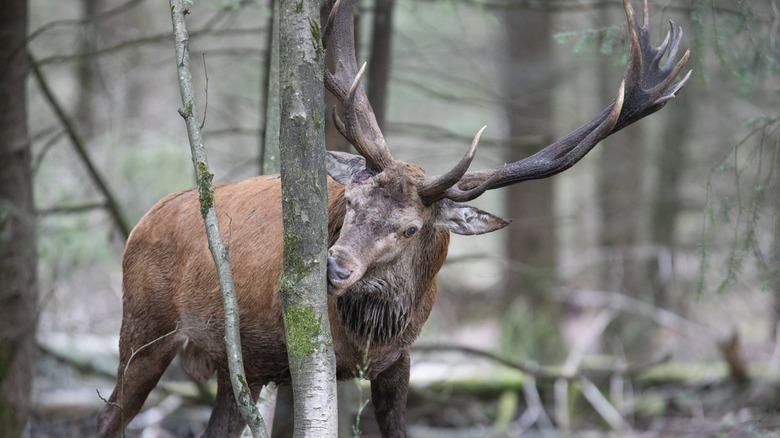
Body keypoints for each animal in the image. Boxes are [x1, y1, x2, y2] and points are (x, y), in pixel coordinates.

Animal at [97, 0, 690, 436]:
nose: (333, 267)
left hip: (218, 366)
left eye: (410, 228)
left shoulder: (399, 363)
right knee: (109, 416)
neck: (365, 339)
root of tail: (142, 222)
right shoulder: (284, 359)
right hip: (143, 327)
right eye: (351, 203)